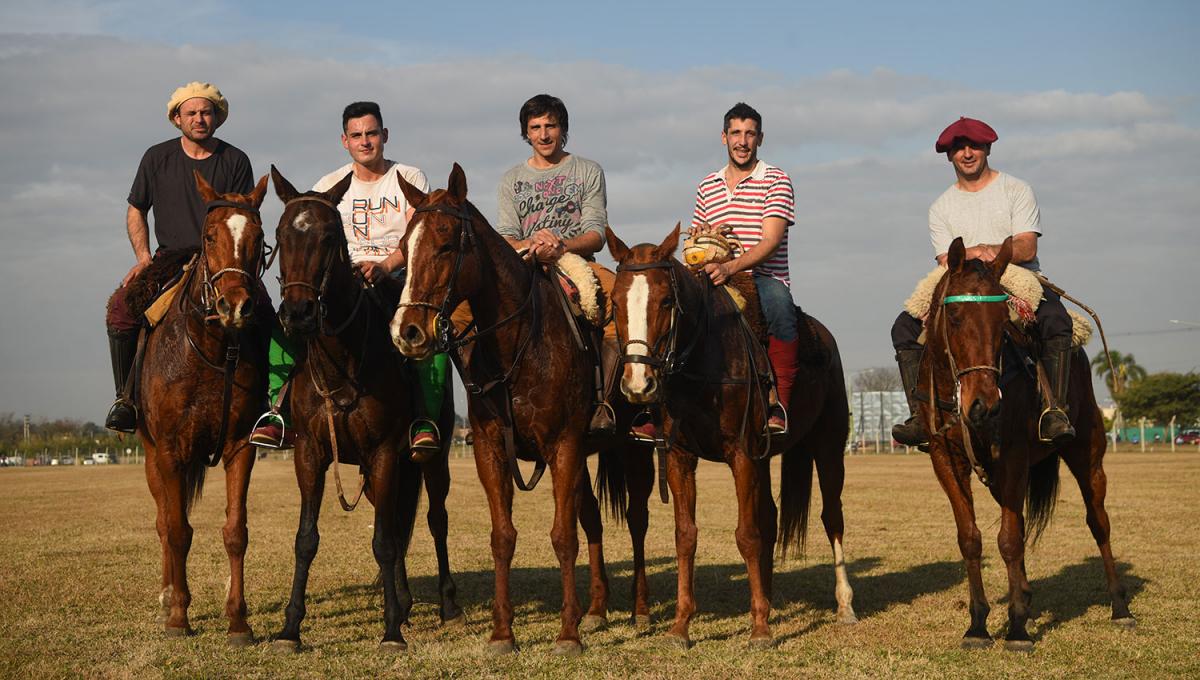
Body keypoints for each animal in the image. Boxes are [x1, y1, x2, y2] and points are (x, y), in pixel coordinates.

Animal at [136, 170, 270, 642]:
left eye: (258, 237)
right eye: (210, 236)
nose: (236, 306)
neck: (211, 348)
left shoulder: (240, 446)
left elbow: (236, 531)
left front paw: (238, 620)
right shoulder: (170, 451)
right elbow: (177, 531)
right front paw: (178, 616)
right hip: (150, 454)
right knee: (163, 522)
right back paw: (166, 597)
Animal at [272, 166, 463, 652]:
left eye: (328, 236)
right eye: (281, 236)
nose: (298, 313)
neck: (343, 360)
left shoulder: (383, 453)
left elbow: (385, 542)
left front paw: (391, 629)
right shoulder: (310, 454)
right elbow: (306, 539)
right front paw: (290, 627)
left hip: (429, 460)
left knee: (435, 519)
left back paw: (446, 603)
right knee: (396, 522)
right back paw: (408, 601)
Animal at [391, 163, 657, 652]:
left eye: (445, 244)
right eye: (404, 247)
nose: (408, 332)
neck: (519, 344)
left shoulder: (564, 446)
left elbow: (563, 536)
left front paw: (568, 634)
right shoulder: (491, 450)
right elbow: (504, 536)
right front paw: (503, 632)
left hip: (633, 448)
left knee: (637, 519)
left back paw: (640, 610)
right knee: (593, 517)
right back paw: (596, 608)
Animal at [609, 226, 854, 647]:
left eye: (666, 300)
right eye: (615, 301)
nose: (639, 384)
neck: (704, 362)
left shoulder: (741, 454)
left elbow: (747, 534)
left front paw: (759, 629)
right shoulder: (680, 457)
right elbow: (686, 535)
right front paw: (681, 626)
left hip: (828, 446)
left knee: (831, 517)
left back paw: (844, 605)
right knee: (771, 517)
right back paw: (768, 598)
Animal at [921, 236, 1128, 652]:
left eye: (1003, 322)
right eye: (954, 317)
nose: (984, 405)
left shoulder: (1013, 458)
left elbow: (1010, 540)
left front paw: (1016, 627)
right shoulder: (945, 459)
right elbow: (971, 539)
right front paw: (978, 624)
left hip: (1087, 454)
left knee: (1098, 522)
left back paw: (1119, 606)